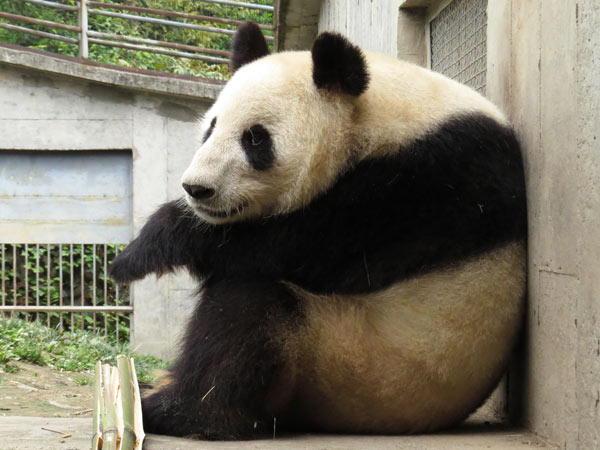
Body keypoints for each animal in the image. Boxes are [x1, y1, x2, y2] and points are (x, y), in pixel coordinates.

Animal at [110, 22, 528, 440]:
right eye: (210, 129)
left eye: (255, 138)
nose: (197, 189)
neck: (381, 116)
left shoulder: (431, 183)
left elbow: (303, 247)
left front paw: (145, 249)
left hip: (358, 366)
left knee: (248, 311)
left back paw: (177, 411)